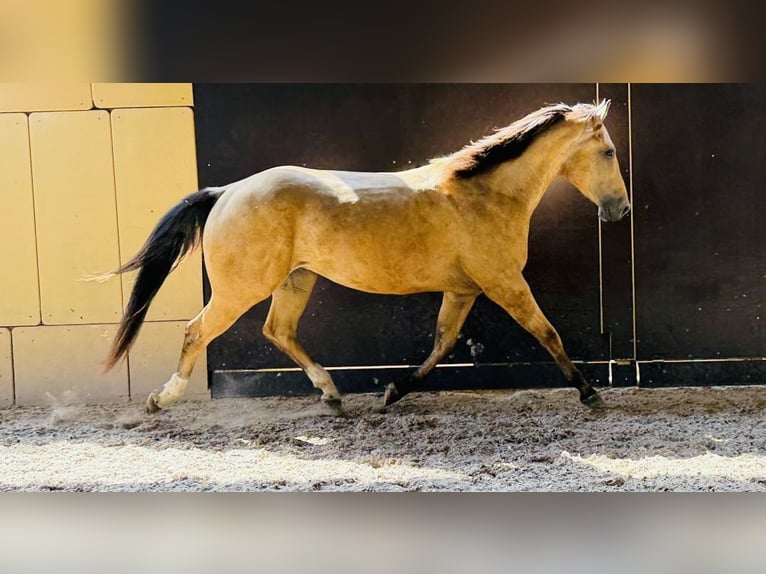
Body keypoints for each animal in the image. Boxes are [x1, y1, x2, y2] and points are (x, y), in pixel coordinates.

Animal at [102, 99, 630, 414]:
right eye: (607, 151)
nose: (620, 209)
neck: (483, 193)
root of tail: (228, 191)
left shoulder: (463, 289)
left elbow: (442, 344)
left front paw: (393, 393)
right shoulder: (504, 283)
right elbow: (547, 332)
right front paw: (589, 392)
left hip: (296, 280)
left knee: (279, 331)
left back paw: (333, 395)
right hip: (241, 288)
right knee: (197, 331)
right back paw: (161, 399)